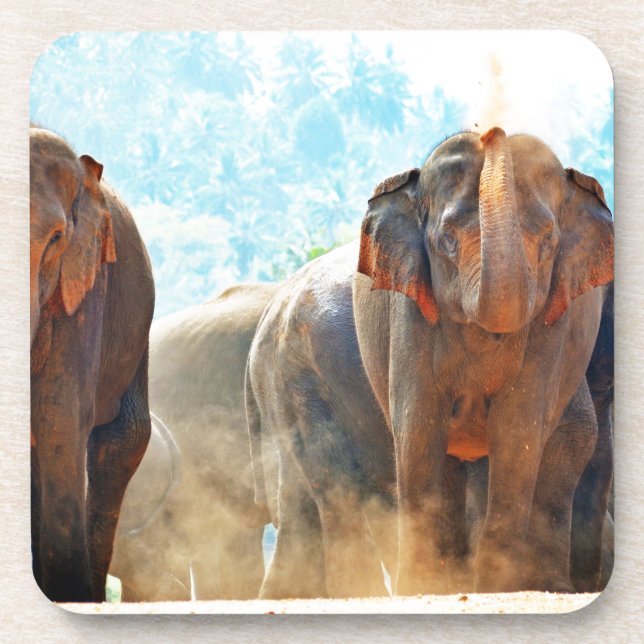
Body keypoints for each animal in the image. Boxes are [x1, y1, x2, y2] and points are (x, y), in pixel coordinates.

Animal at [248, 127, 613, 598]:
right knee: (333, 477)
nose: (490, 130)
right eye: (447, 241)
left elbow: (519, 429)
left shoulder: (555, 322)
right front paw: (422, 584)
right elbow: (419, 427)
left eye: (549, 242)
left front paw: (500, 584)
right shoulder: (409, 315)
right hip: (297, 375)